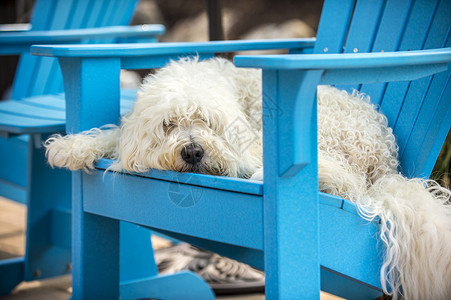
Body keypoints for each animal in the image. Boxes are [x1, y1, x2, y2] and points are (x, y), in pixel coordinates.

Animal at [46, 56, 451, 300]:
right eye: (169, 124)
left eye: (207, 122)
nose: (193, 152)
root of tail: (385, 161)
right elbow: (113, 135)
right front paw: (70, 147)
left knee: (344, 182)